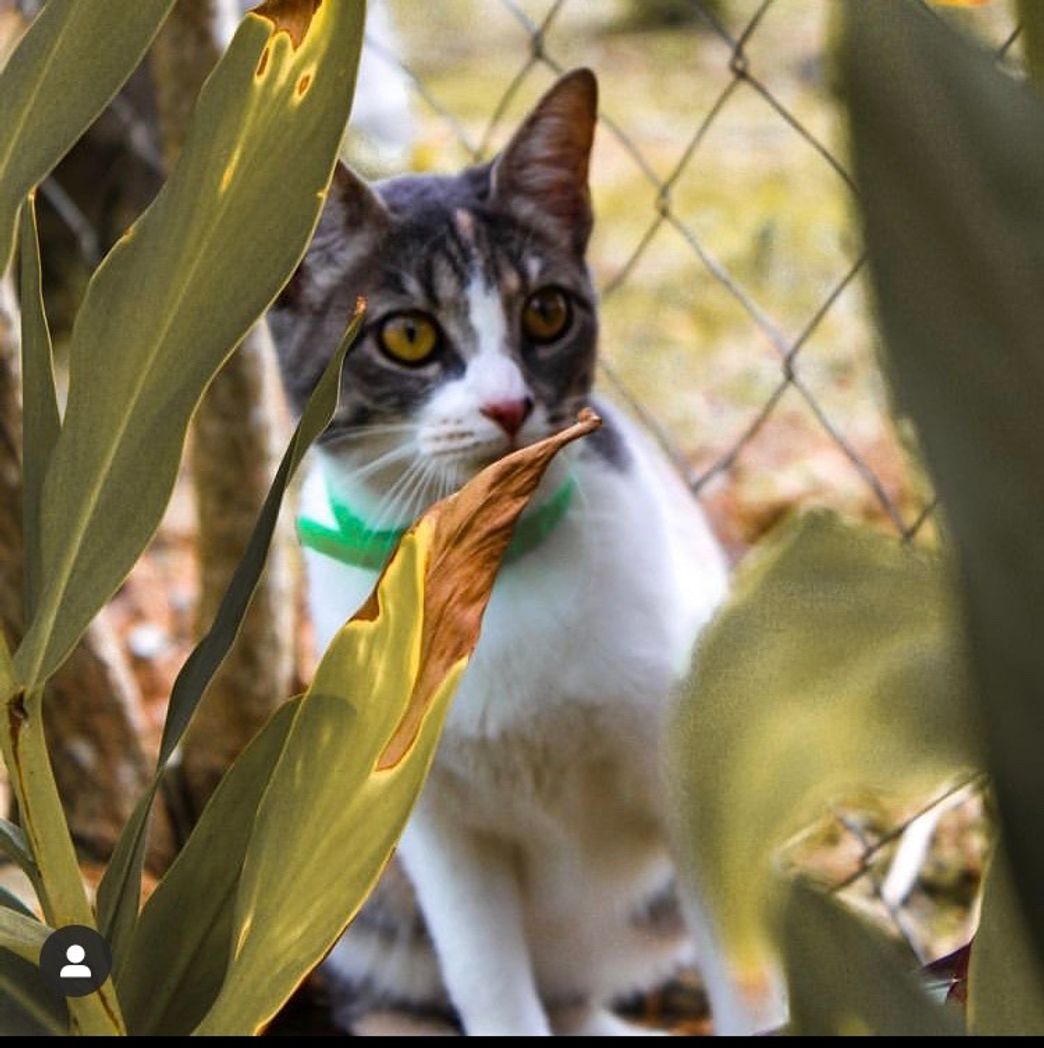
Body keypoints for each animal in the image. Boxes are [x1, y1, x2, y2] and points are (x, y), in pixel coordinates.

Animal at [272, 69, 733, 1035]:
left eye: (547, 312)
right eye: (408, 334)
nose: (511, 406)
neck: (481, 558)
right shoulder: (432, 830)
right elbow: (487, 984)